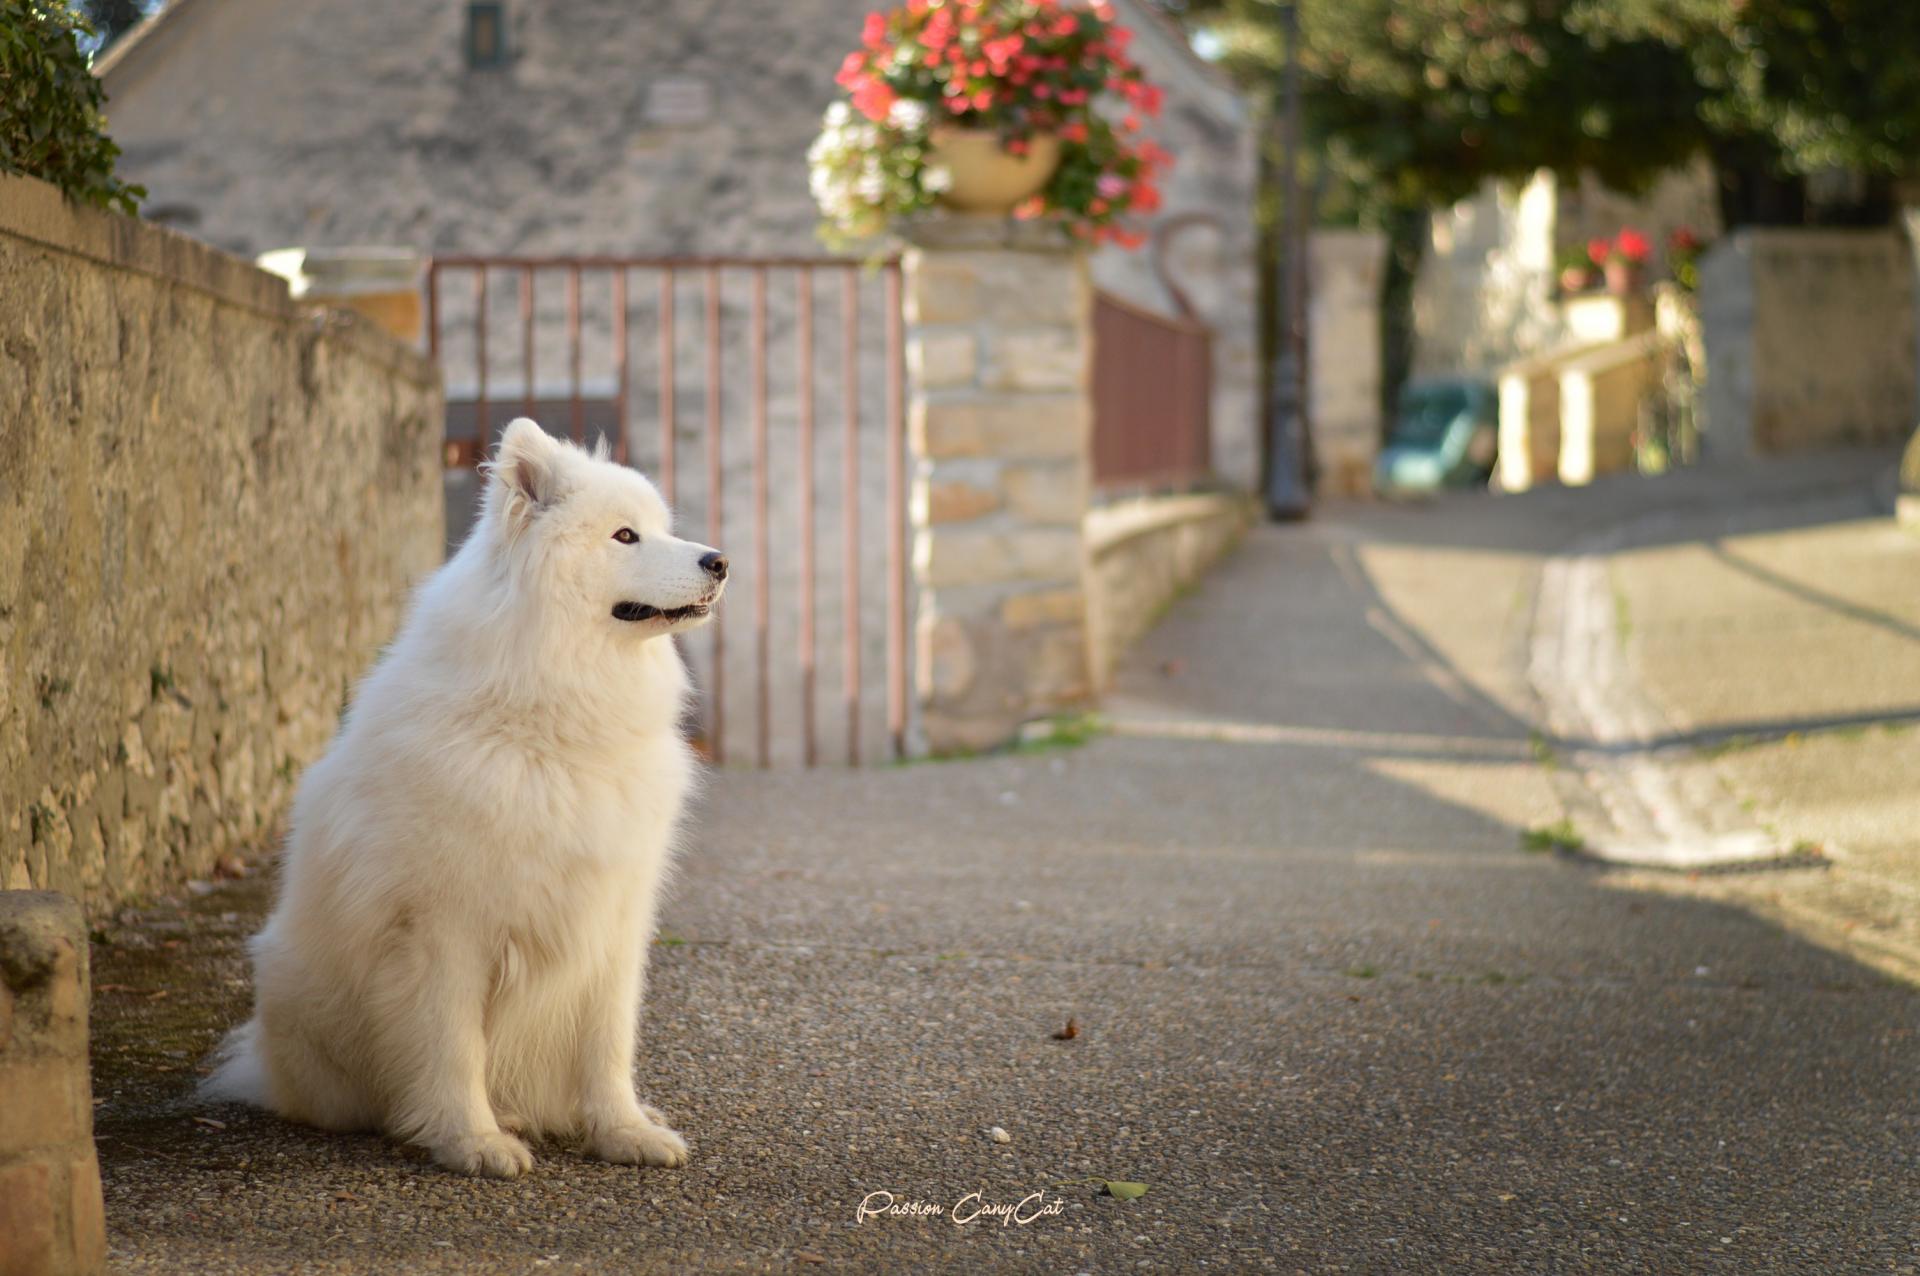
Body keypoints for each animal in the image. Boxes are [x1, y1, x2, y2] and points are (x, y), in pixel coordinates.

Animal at [206, 418, 721, 1174]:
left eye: (663, 528)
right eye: (625, 536)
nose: (720, 561)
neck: (549, 720)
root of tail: (260, 1066)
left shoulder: (613, 917)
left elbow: (607, 1043)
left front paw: (623, 1131)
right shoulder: (444, 927)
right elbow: (453, 1045)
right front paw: (470, 1140)